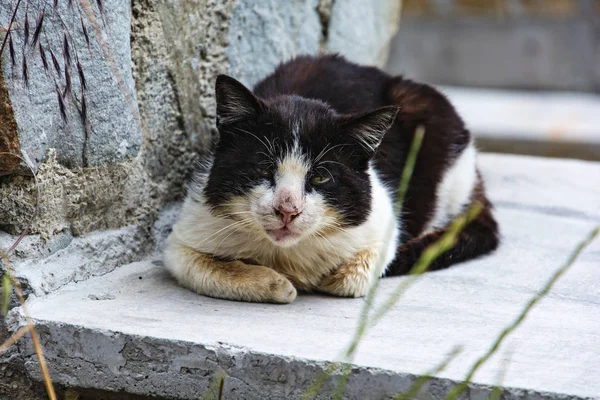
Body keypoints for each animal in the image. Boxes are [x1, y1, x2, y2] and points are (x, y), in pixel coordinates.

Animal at [162, 53, 500, 304]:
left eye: (321, 177)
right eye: (263, 169)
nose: (287, 210)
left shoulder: (381, 218)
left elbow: (352, 278)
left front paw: (320, 279)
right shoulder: (185, 234)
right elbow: (199, 267)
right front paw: (277, 284)